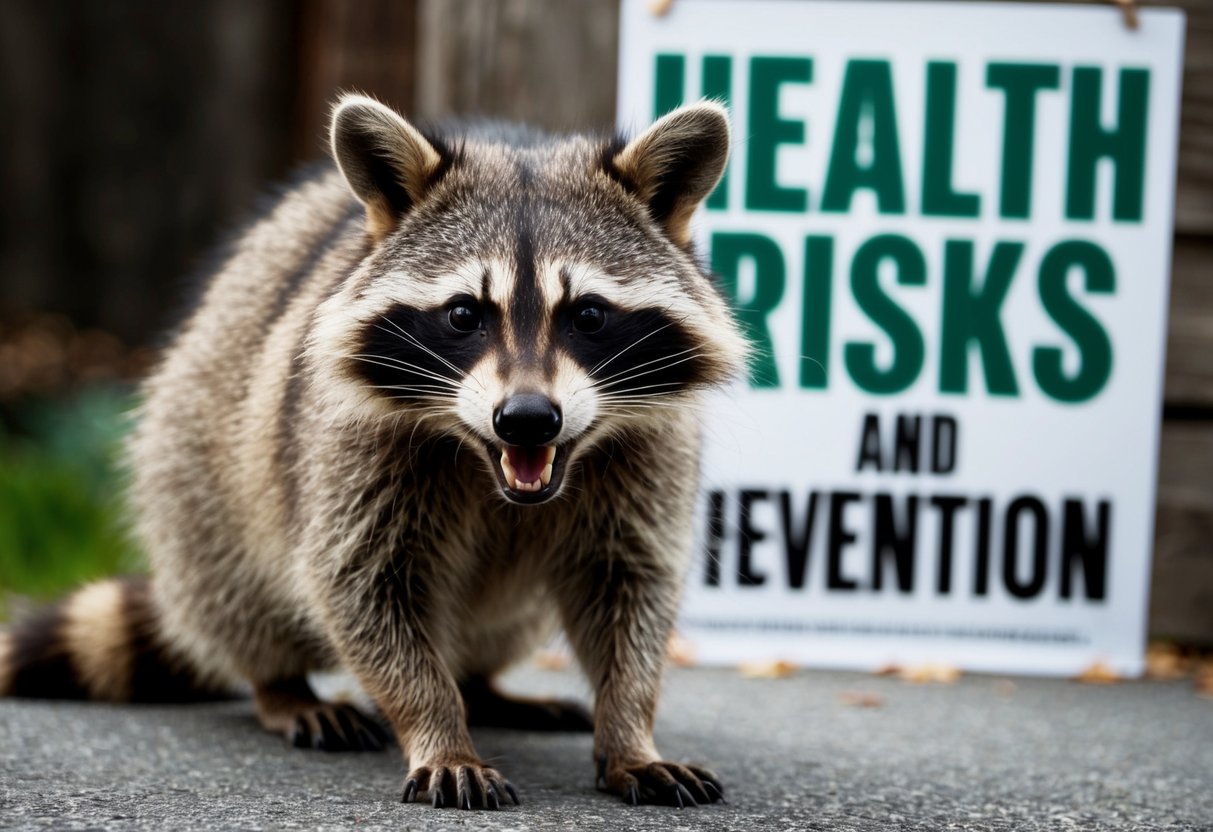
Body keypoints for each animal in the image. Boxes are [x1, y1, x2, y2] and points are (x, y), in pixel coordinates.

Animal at [0, 94, 747, 810]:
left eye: (589, 314)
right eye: (463, 314)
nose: (528, 421)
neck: (489, 467)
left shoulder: (649, 453)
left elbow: (631, 590)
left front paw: (629, 730)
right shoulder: (348, 448)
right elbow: (362, 588)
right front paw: (437, 726)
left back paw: (483, 685)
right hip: (195, 451)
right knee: (234, 581)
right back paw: (284, 685)